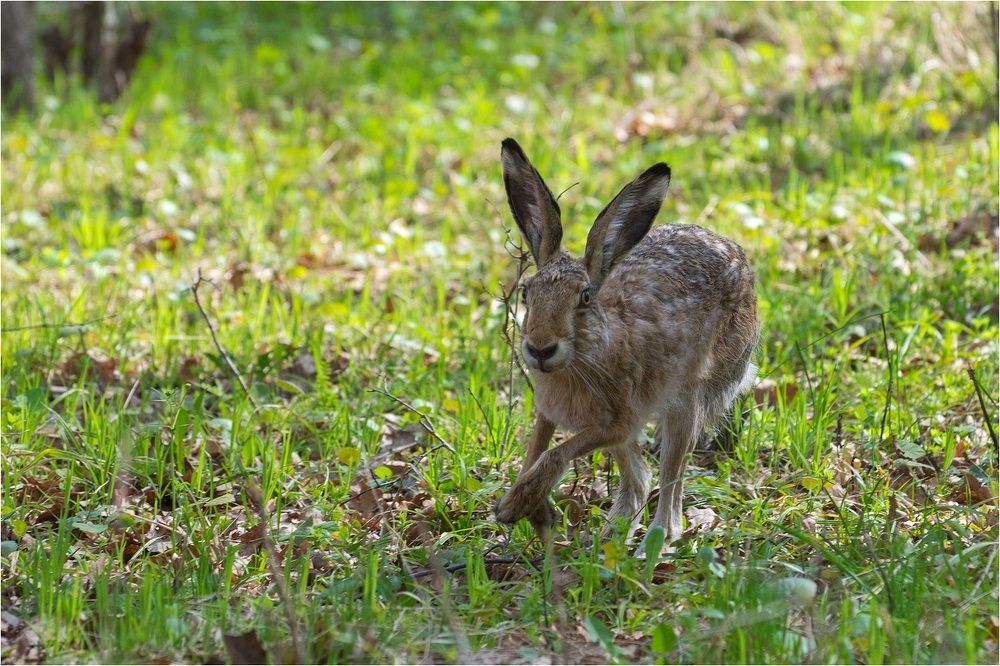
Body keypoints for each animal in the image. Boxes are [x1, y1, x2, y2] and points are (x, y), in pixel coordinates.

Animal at [493, 138, 760, 556]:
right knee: (640, 480)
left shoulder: (617, 423)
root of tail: (741, 260)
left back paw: (655, 541)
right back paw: (609, 539)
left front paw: (515, 505)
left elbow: (555, 454)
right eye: (526, 293)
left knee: (669, 483)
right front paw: (527, 504)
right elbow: (536, 450)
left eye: (585, 297)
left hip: (687, 401)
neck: (587, 354)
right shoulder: (553, 415)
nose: (540, 349)